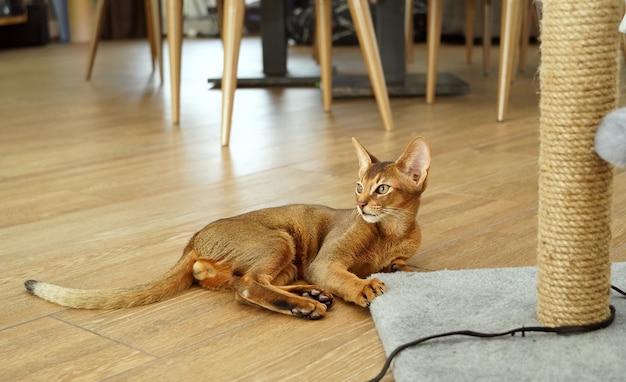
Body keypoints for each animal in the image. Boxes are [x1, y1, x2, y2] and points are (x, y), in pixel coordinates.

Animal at [23, 137, 428, 320]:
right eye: (359, 187)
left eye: (382, 189)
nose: (361, 206)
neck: (391, 232)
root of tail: (192, 241)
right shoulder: (325, 262)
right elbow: (346, 276)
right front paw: (363, 287)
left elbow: (403, 265)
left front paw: (400, 268)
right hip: (279, 240)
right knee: (246, 286)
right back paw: (305, 303)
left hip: (285, 261)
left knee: (244, 284)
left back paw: (309, 296)